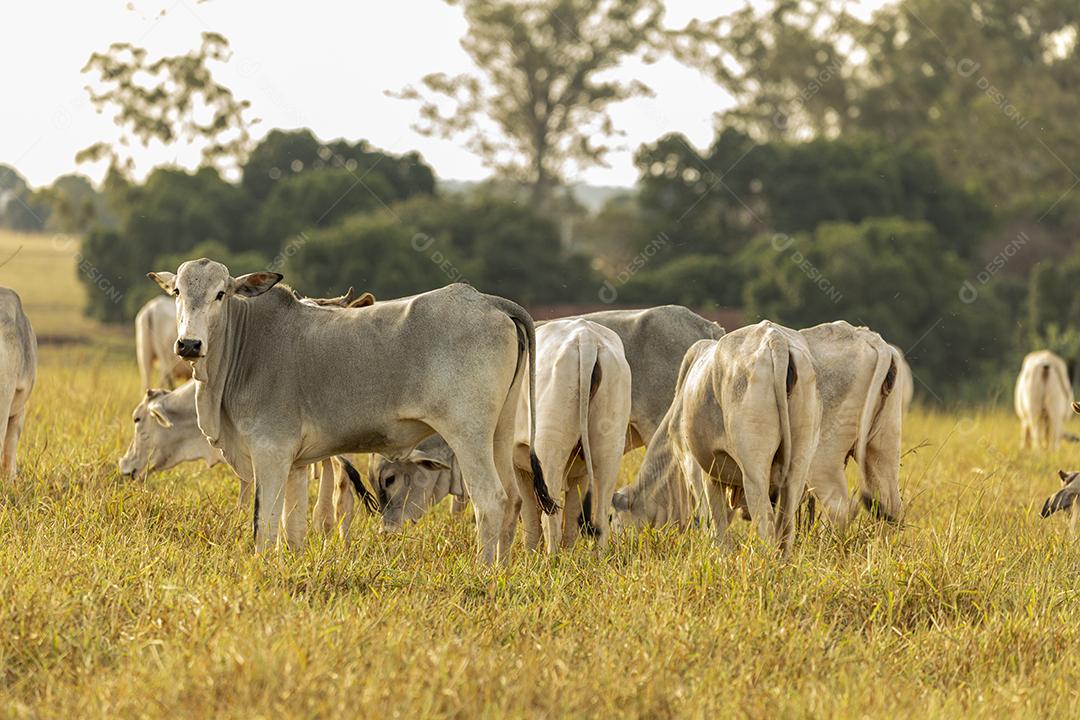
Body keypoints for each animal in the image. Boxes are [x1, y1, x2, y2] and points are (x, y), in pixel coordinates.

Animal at [147, 260, 557, 561]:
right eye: (178, 291)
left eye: (221, 294)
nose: (188, 344)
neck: (246, 345)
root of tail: (487, 301)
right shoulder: (296, 465)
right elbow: (292, 527)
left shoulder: (270, 452)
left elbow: (264, 524)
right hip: (499, 432)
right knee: (514, 498)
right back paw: (501, 567)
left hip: (468, 435)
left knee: (491, 501)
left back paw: (483, 571)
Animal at [509, 319, 630, 552]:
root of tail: (586, 337)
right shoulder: (578, 474)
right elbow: (572, 514)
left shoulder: (517, 465)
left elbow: (530, 517)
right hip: (609, 448)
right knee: (600, 517)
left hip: (549, 451)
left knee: (551, 518)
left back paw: (551, 557)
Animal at [617, 321, 816, 557]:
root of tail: (774, 338)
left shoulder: (697, 466)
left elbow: (712, 519)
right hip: (799, 464)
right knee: (786, 524)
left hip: (754, 468)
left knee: (765, 519)